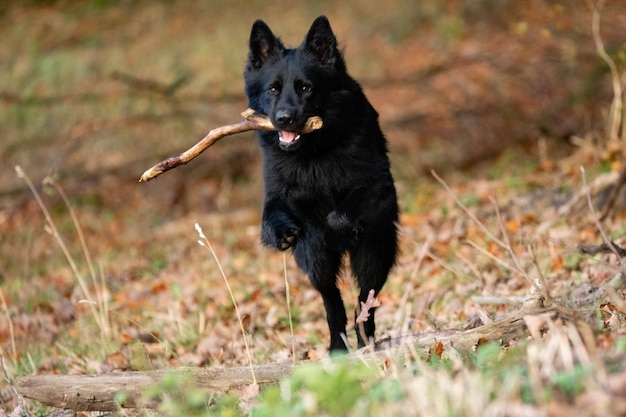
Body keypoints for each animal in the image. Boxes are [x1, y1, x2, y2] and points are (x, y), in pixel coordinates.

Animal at [241, 14, 398, 350]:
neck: (313, 153)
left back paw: (364, 339)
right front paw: (283, 232)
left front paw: (335, 234)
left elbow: (339, 215)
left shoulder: (375, 186)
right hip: (315, 263)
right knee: (332, 300)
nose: (284, 118)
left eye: (305, 87)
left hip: (374, 252)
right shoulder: (277, 195)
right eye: (273, 89)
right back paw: (338, 348)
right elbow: (273, 214)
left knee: (365, 298)